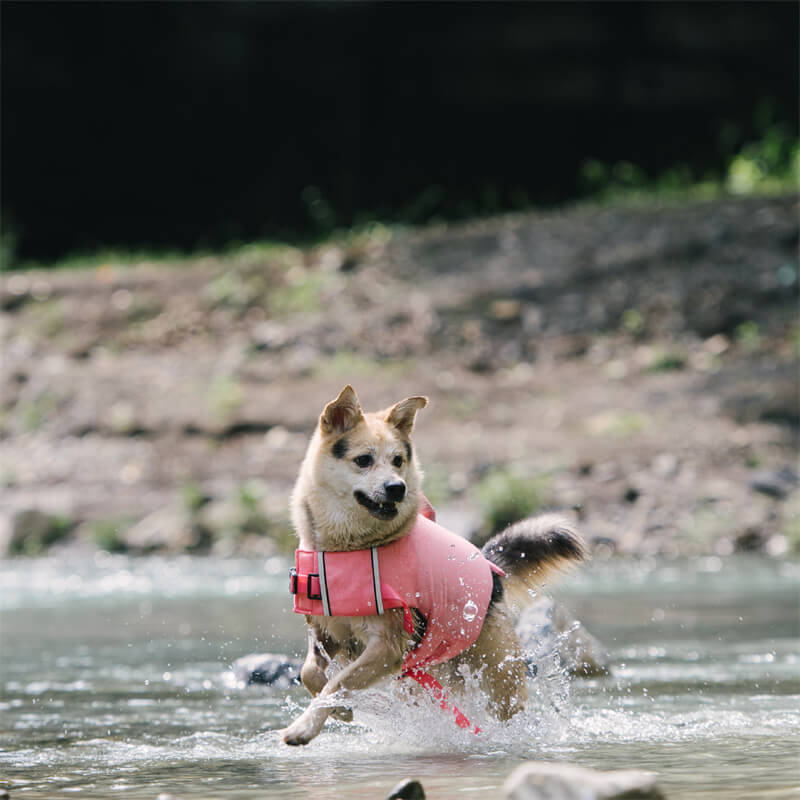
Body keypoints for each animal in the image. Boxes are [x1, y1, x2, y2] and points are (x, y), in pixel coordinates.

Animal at [280, 384, 580, 748]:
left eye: (398, 460)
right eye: (363, 460)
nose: (397, 488)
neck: (349, 548)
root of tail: (491, 572)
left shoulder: (388, 645)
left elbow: (338, 682)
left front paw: (304, 726)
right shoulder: (324, 631)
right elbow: (311, 674)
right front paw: (340, 710)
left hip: (498, 674)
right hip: (425, 677)